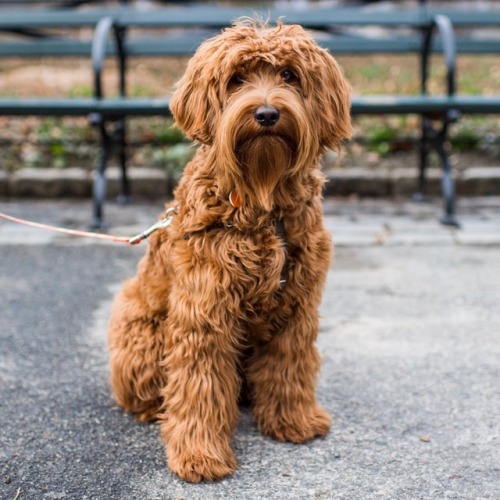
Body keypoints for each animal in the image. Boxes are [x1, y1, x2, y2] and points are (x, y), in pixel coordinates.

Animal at [108, 20, 352, 484]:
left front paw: (293, 421)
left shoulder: (298, 307)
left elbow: (290, 364)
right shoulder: (204, 311)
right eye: (237, 79)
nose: (267, 114)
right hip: (140, 330)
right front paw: (199, 455)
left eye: (290, 75)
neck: (262, 202)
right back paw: (154, 409)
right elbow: (198, 385)